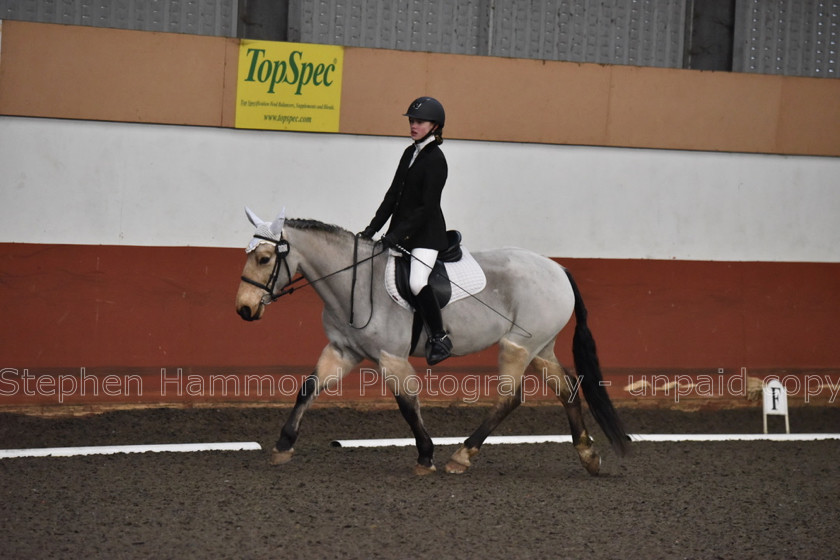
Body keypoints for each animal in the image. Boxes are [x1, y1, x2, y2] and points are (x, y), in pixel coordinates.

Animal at [233, 208, 628, 474]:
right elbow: (308, 389)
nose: (244, 309)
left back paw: (462, 455)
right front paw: (284, 444)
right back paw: (588, 455)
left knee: (510, 398)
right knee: (568, 389)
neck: (354, 284)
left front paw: (426, 455)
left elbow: (408, 405)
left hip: (518, 346)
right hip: (541, 347)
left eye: (264, 258)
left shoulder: (391, 357)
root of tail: (559, 268)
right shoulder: (343, 351)